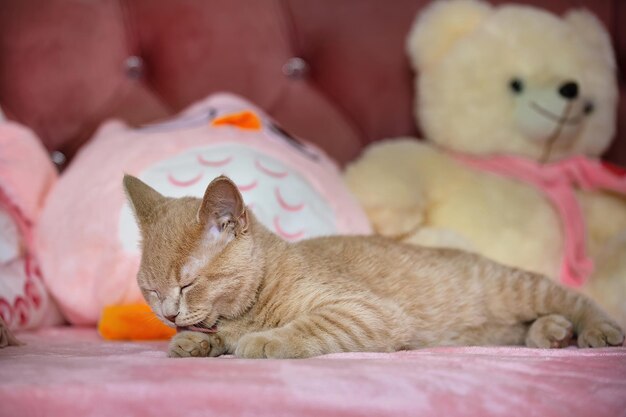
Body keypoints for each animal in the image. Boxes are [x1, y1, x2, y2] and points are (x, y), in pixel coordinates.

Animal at [123, 173, 624, 358]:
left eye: (188, 283)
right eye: (150, 290)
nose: (168, 313)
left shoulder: (367, 311)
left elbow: (309, 325)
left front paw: (264, 340)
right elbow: (207, 335)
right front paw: (192, 342)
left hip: (516, 287)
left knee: (573, 297)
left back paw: (595, 329)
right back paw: (552, 333)